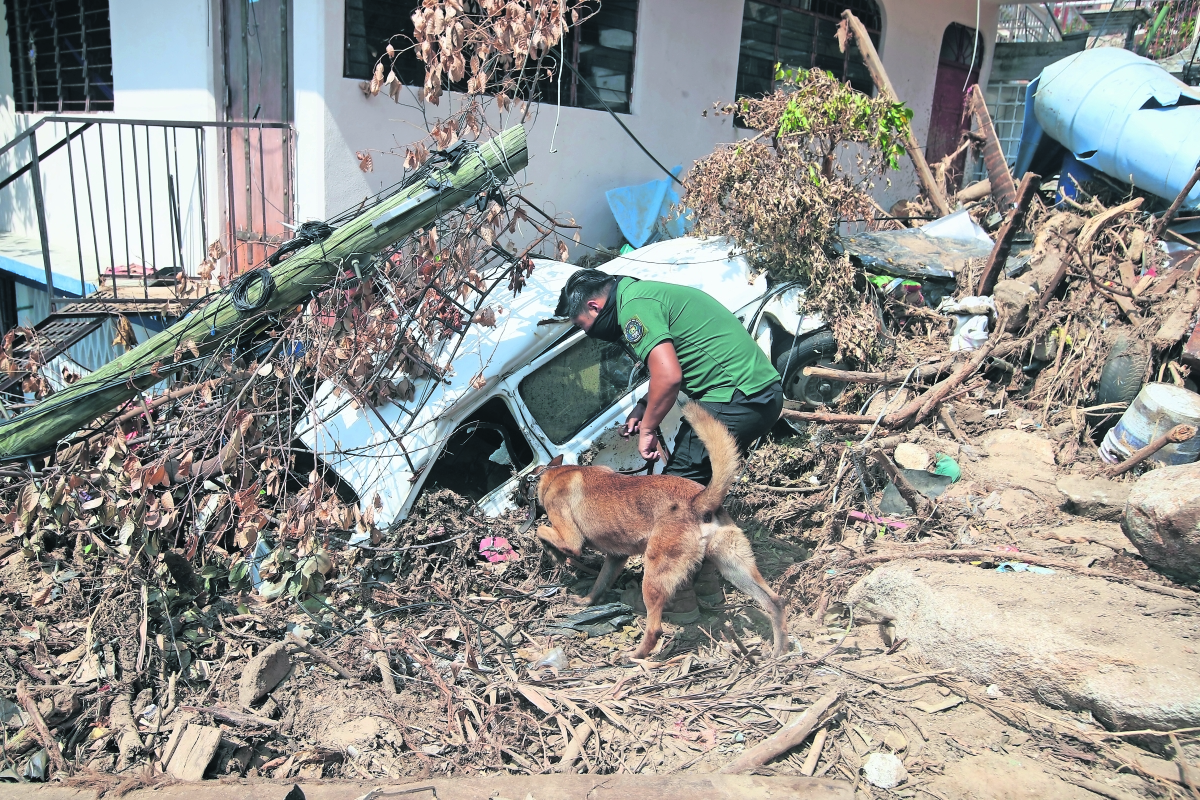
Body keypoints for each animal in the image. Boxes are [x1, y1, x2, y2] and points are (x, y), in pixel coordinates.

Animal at [535, 402, 787, 662]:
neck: (557, 473)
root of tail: (699, 502)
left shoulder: (571, 538)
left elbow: (541, 530)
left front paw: (551, 551)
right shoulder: (615, 558)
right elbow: (600, 582)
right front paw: (586, 601)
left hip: (655, 574)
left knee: (654, 628)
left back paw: (636, 655)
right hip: (735, 567)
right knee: (774, 601)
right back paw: (779, 652)